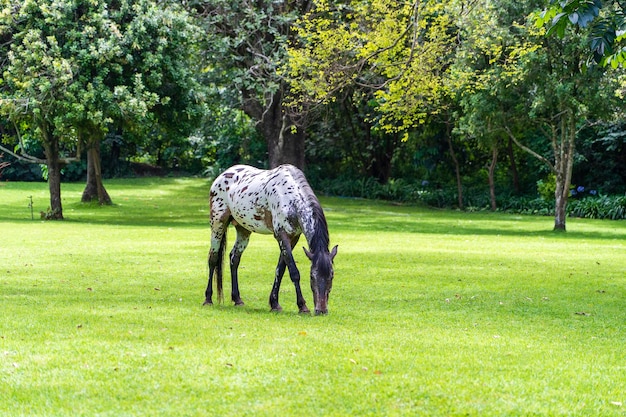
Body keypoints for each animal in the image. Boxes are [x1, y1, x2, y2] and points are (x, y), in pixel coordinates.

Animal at [204, 164, 336, 314]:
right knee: (213, 258)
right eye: (312, 276)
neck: (290, 198)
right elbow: (293, 272)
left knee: (234, 258)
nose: (321, 310)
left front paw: (275, 303)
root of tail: (222, 175)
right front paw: (302, 306)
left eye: (331, 276)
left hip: (244, 230)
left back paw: (237, 299)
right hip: (217, 225)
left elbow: (281, 269)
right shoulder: (281, 235)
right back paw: (208, 299)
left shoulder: (293, 238)